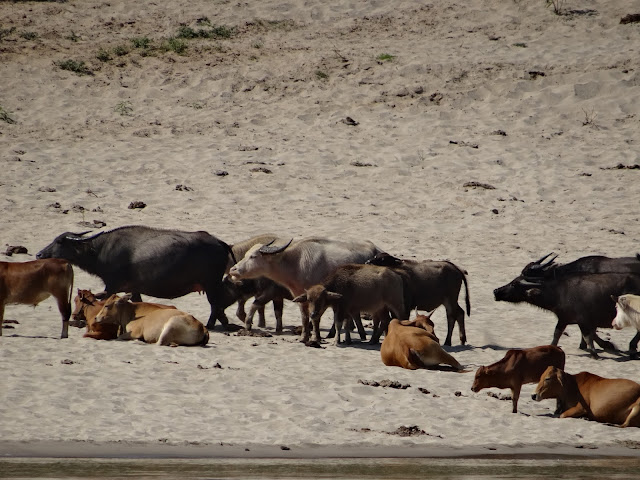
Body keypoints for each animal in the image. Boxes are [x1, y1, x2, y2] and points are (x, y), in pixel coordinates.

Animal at [35, 225, 235, 330]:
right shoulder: (133, 288)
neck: (101, 250)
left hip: (211, 283)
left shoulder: (112, 285)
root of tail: (220, 242)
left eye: (60, 241)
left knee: (215, 304)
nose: (39, 254)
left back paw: (210, 325)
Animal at [229, 237, 382, 344]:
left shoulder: (319, 298)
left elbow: (315, 318)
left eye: (253, 256)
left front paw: (315, 337)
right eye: (246, 254)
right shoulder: (301, 297)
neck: (296, 263)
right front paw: (304, 337)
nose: (233, 269)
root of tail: (376, 249)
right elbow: (304, 317)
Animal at [496, 253, 640, 358]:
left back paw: (632, 348)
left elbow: (589, 334)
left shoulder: (585, 318)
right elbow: (560, 334)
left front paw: (600, 347)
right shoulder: (567, 319)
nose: (496, 291)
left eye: (515, 283)